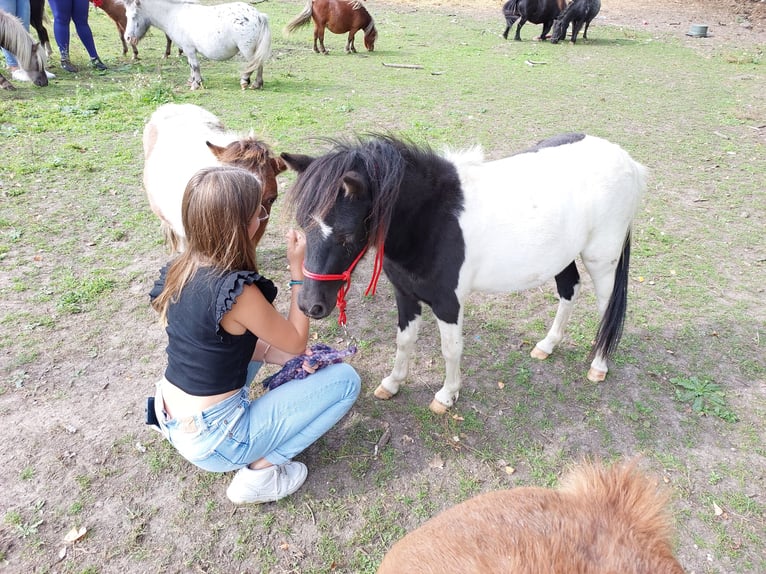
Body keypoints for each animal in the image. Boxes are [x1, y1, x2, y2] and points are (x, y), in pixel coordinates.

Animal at [121, 0, 272, 90]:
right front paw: (192, 80)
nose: (127, 38)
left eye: (134, 16)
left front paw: (195, 83)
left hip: (247, 49)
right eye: (126, 15)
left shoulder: (189, 49)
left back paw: (246, 81)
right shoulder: (187, 50)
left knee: (254, 64)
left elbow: (195, 66)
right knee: (259, 64)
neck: (174, 15)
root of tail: (259, 15)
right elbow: (190, 66)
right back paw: (257, 83)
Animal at [282, 135, 648, 414]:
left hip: (602, 260)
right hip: (563, 257)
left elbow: (451, 349)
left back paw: (599, 365)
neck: (430, 220)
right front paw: (392, 383)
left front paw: (446, 396)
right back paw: (547, 345)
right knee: (569, 290)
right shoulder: (406, 295)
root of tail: (628, 162)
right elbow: (404, 340)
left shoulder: (448, 302)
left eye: (346, 235)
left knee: (607, 309)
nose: (310, 306)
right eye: (303, 227)